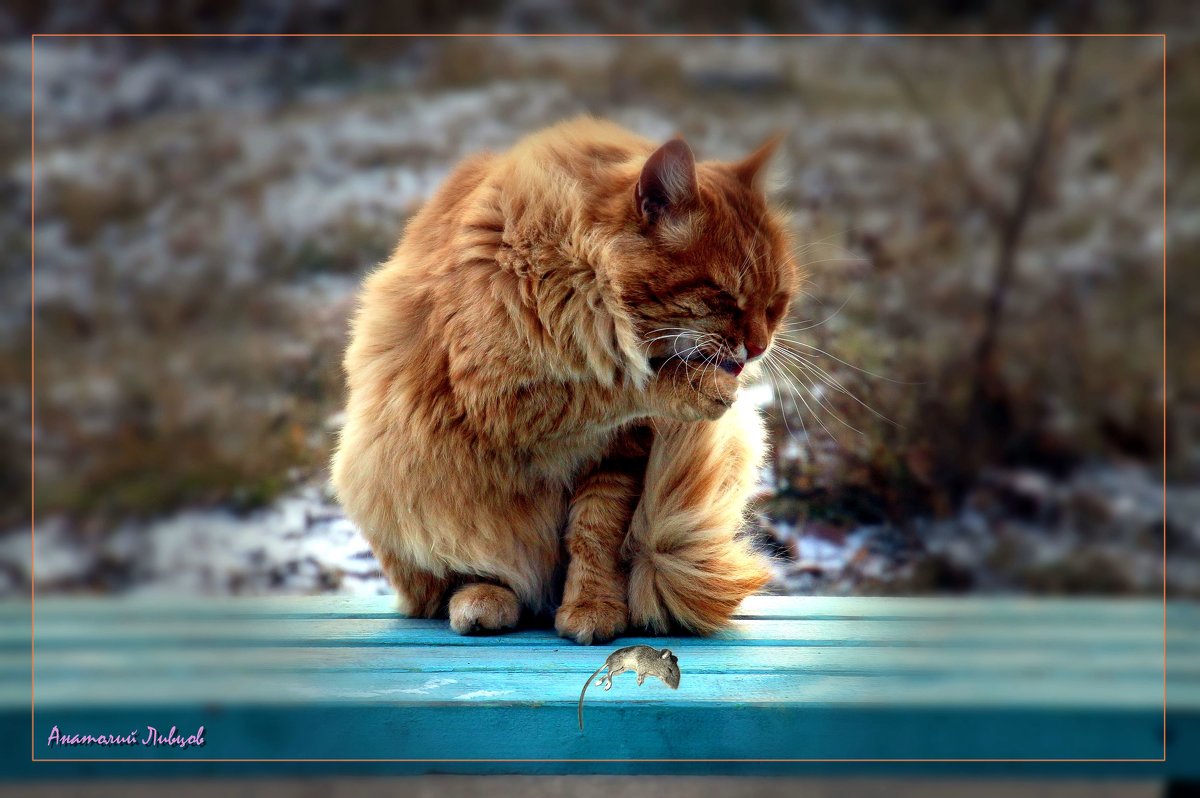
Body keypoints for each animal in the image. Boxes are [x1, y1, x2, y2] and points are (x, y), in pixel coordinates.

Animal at [328, 117, 796, 643]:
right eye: (722, 297)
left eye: (776, 303)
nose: (758, 346)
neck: (579, 269)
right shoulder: (501, 397)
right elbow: (615, 384)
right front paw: (693, 386)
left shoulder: (619, 454)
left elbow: (594, 535)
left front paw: (593, 606)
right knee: (451, 579)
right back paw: (482, 600)